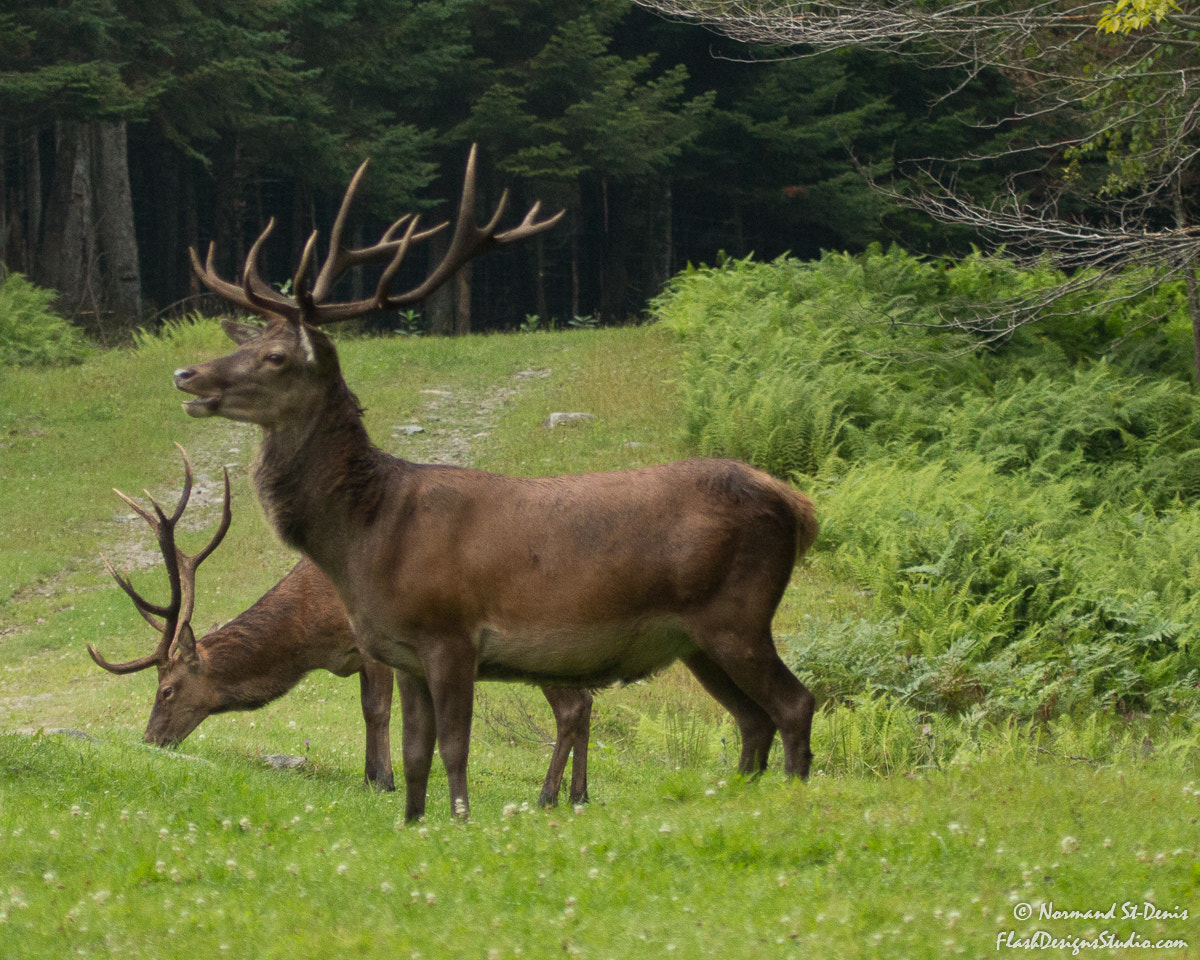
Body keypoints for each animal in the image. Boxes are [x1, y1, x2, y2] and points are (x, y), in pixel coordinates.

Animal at [87, 446, 592, 806]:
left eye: (166, 690)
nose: (150, 740)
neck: (311, 628)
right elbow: (367, 710)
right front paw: (370, 774)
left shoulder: (376, 646)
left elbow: (376, 709)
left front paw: (384, 780)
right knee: (586, 701)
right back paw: (579, 794)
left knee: (570, 707)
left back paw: (547, 796)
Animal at [174, 146, 820, 820]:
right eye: (255, 341)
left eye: (276, 357)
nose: (185, 374)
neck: (366, 538)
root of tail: (799, 507)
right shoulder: (402, 652)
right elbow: (414, 756)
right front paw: (413, 820)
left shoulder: (452, 636)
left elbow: (454, 749)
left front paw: (460, 819)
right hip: (697, 640)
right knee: (752, 720)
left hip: (738, 613)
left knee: (796, 704)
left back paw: (792, 798)